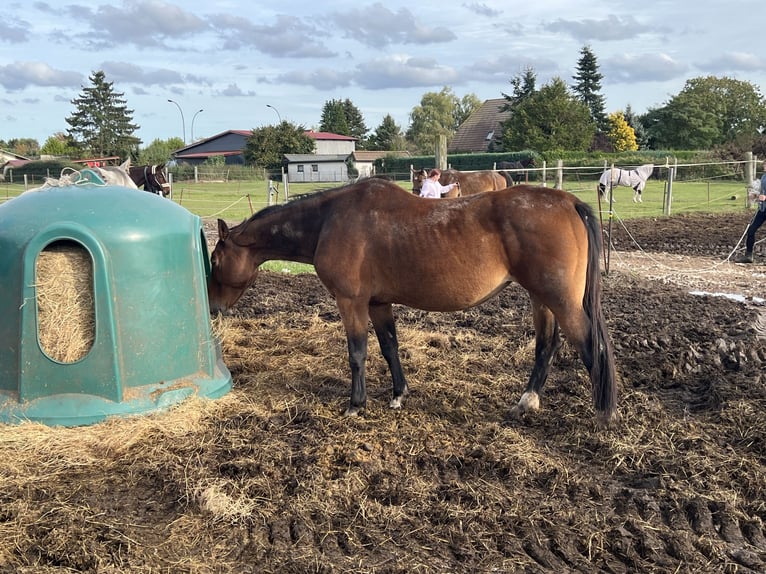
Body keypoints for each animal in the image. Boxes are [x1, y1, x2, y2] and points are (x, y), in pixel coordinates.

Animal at [207, 179, 620, 428]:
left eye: (214, 258)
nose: (212, 307)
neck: (328, 221)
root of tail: (568, 201)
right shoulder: (377, 303)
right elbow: (389, 346)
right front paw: (398, 394)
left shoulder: (351, 301)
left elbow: (357, 352)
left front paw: (356, 404)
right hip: (542, 299)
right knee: (546, 346)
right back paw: (525, 402)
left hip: (559, 300)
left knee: (589, 346)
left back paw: (603, 414)